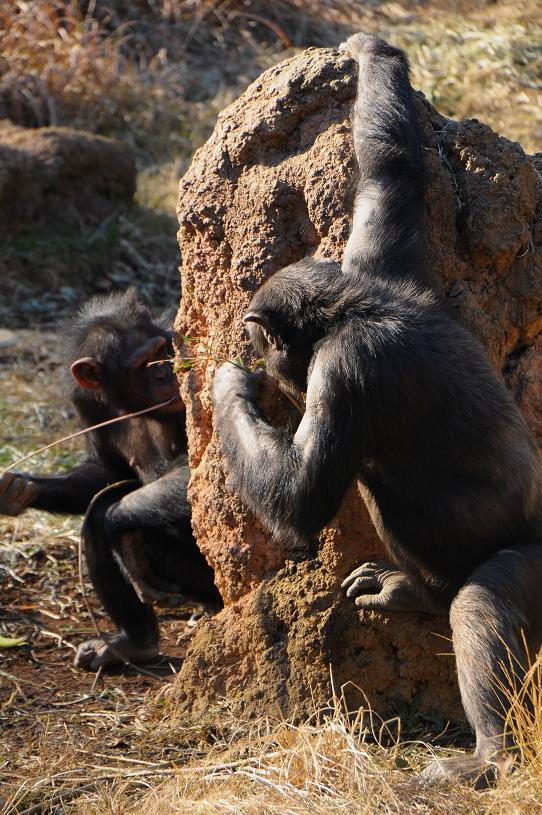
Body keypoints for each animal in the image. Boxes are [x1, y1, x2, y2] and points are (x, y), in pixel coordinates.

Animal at [0, 290, 221, 672]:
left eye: (160, 351)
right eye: (141, 365)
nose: (164, 372)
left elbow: (200, 472)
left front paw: (117, 525)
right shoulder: (84, 402)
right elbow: (106, 474)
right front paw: (18, 489)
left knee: (105, 515)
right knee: (97, 512)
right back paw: (134, 645)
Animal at [212, 35, 542, 788]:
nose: (262, 359)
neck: (352, 306)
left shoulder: (344, 371)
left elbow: (300, 495)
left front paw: (227, 385)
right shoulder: (375, 253)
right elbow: (391, 166)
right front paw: (369, 52)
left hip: (533, 565)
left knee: (483, 602)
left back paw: (488, 755)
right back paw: (410, 596)